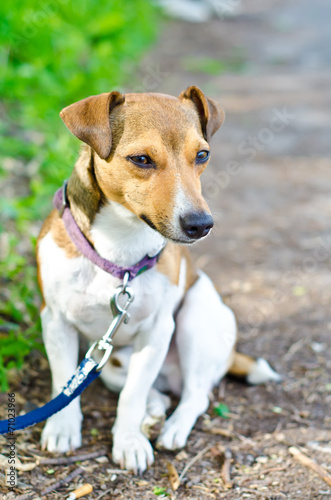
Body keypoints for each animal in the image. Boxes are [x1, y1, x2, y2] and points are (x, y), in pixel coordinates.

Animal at [36, 85, 280, 472]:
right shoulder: (56, 321)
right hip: (111, 362)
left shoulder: (157, 330)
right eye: (141, 159)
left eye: (202, 154)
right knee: (154, 392)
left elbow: (132, 397)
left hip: (196, 317)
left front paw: (128, 441)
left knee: (194, 396)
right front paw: (62, 427)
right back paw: (154, 410)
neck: (119, 251)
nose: (200, 224)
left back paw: (171, 428)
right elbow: (65, 381)